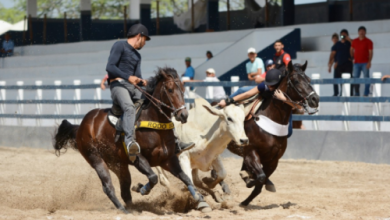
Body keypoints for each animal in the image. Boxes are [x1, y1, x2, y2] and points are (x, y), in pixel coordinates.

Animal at [54, 67, 207, 213]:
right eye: (170, 89)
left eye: (183, 89)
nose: (184, 115)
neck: (155, 124)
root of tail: (81, 126)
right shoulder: (138, 158)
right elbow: (153, 177)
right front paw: (141, 188)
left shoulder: (167, 159)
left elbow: (185, 178)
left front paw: (200, 199)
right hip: (96, 160)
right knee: (108, 187)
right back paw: (124, 210)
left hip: (118, 164)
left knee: (125, 190)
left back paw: (132, 208)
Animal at [227, 60, 318, 206]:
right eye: (296, 81)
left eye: (309, 79)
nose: (315, 99)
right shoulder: (251, 152)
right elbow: (259, 177)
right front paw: (249, 180)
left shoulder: (273, 160)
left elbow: (260, 184)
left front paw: (245, 201)